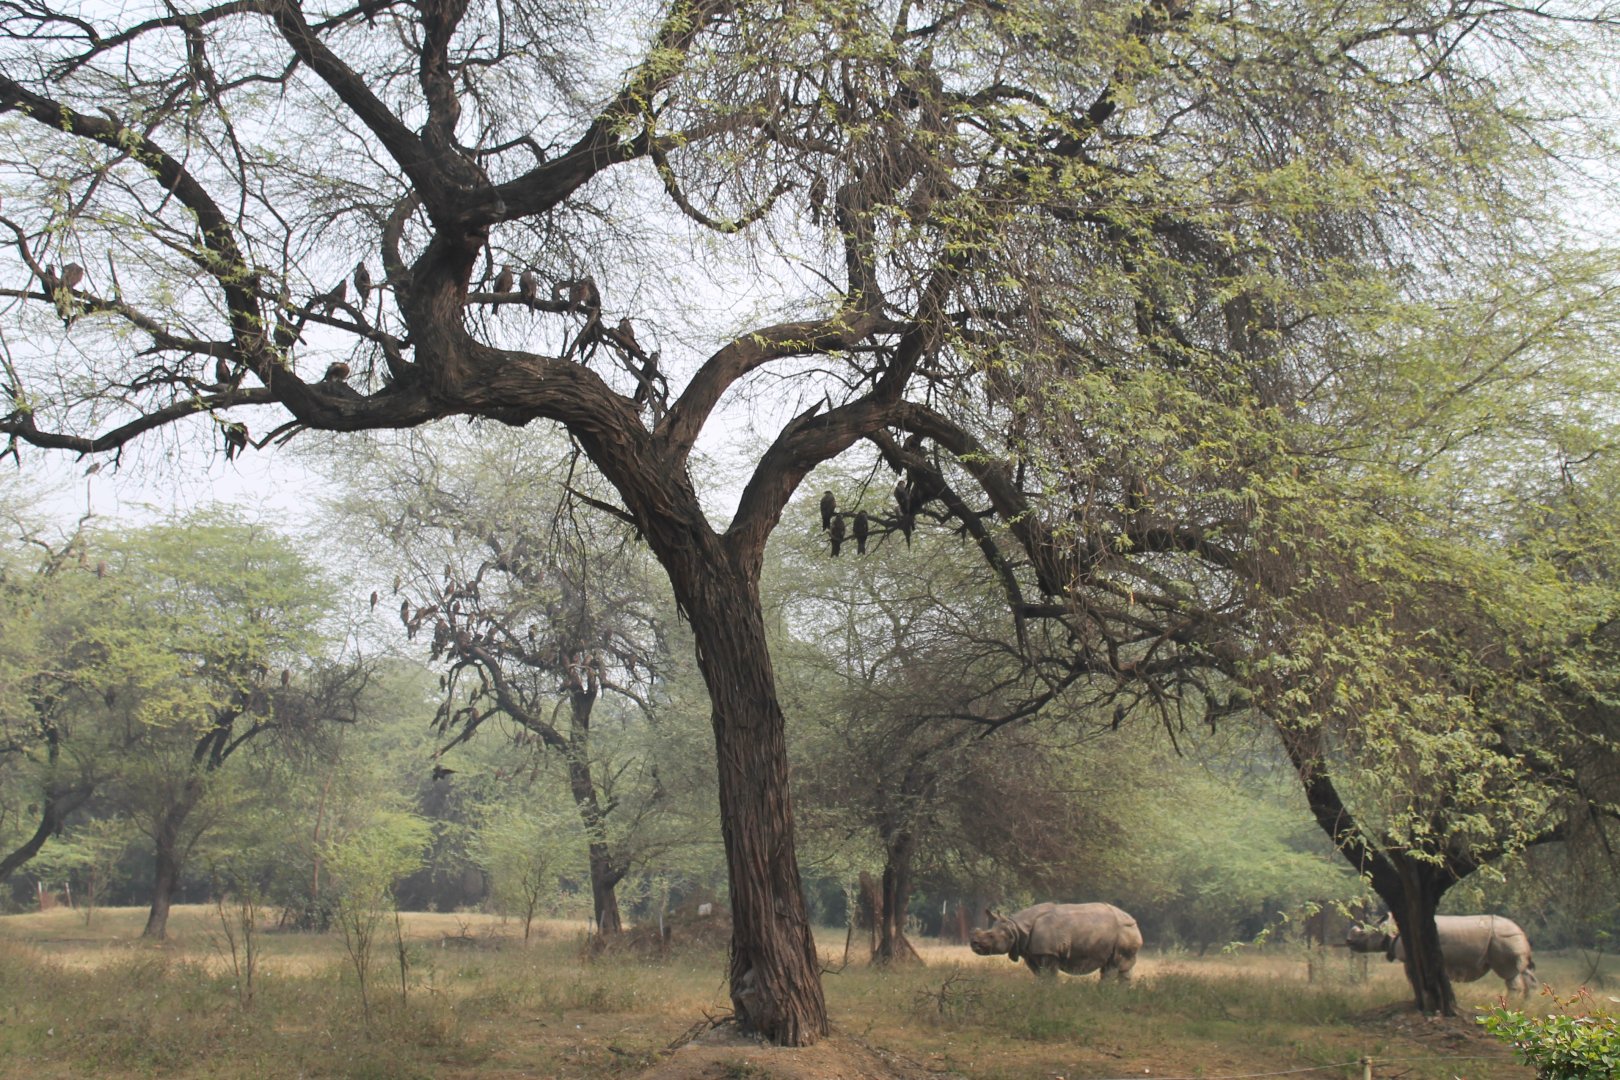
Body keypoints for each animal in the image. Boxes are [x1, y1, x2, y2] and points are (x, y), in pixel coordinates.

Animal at [970, 902, 1143, 980]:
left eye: (991, 936)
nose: (973, 944)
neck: (1016, 928)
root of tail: (1135, 922)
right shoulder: (1031, 953)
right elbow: (1039, 975)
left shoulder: (1050, 952)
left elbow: (1049, 976)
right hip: (1123, 932)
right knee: (1123, 968)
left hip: (1124, 932)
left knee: (1112, 966)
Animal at [1345, 914, 1536, 995]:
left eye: (1364, 933)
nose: (1348, 941)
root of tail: (1521, 932)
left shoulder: (1408, 957)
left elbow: (1412, 978)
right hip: (1510, 938)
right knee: (1525, 972)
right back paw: (1526, 1007)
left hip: (1502, 938)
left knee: (1509, 974)